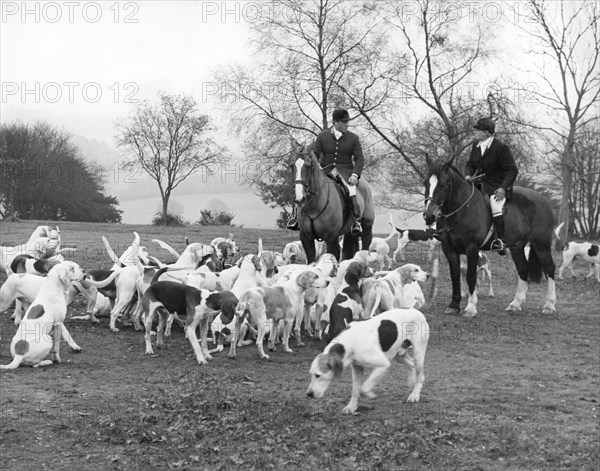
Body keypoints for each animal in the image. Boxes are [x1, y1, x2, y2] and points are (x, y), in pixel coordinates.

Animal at [424, 158, 556, 318]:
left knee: (549, 268)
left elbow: (470, 276)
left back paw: (549, 305)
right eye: (425, 183)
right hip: (517, 246)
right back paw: (515, 304)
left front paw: (471, 308)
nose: (429, 216)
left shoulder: (472, 247)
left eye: (443, 185)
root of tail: (544, 200)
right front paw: (454, 305)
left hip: (541, 243)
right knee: (523, 269)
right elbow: (455, 276)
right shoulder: (449, 248)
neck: (462, 209)